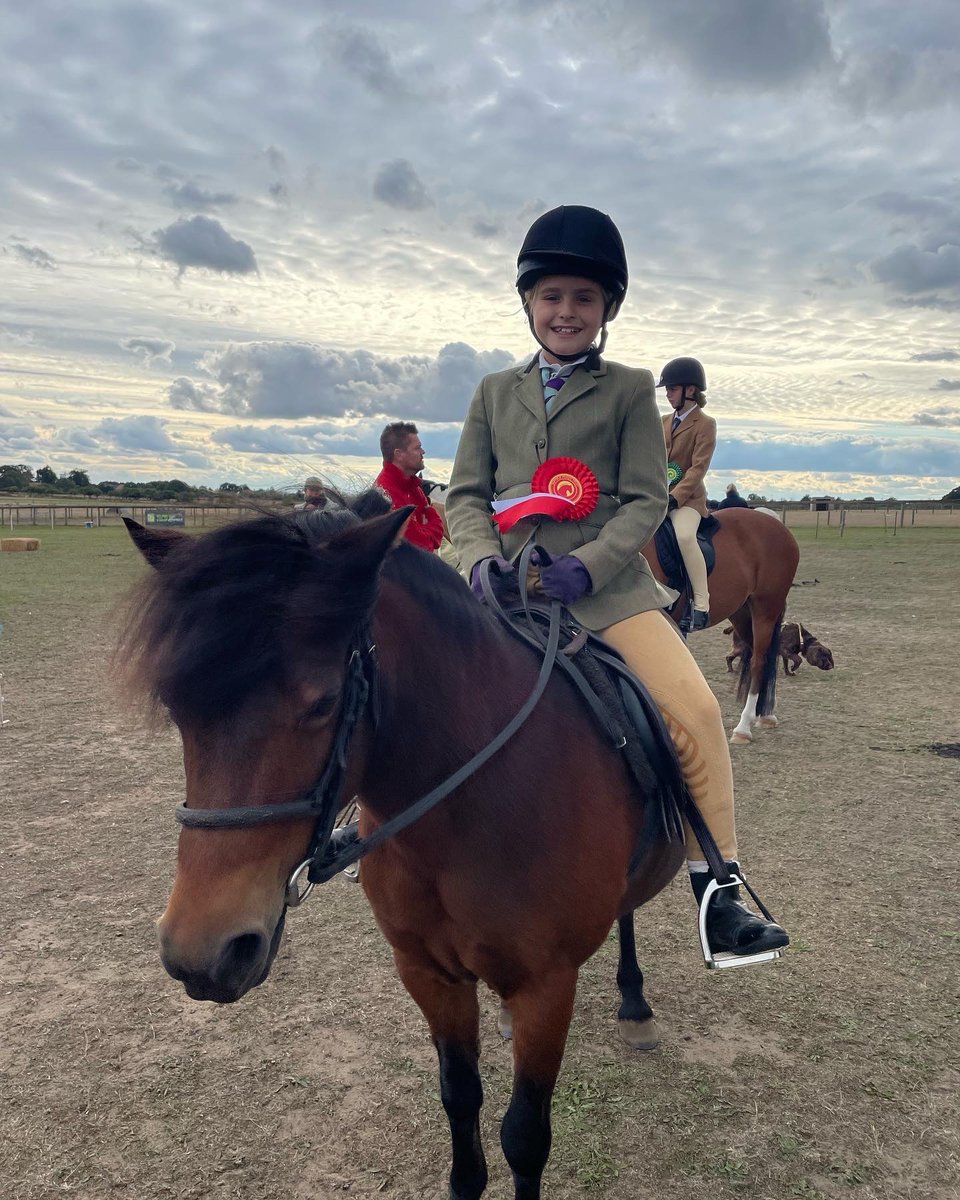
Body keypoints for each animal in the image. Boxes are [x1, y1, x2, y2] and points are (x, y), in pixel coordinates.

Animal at [118, 496, 686, 1200]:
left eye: (324, 703)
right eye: (176, 705)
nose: (201, 953)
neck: (465, 817)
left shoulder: (546, 988)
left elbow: (525, 1136)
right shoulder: (427, 972)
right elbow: (460, 1098)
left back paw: (637, 1002)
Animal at [642, 508, 800, 744]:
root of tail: (777, 525)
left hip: (766, 609)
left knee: (759, 662)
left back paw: (743, 727)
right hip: (742, 614)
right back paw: (764, 715)